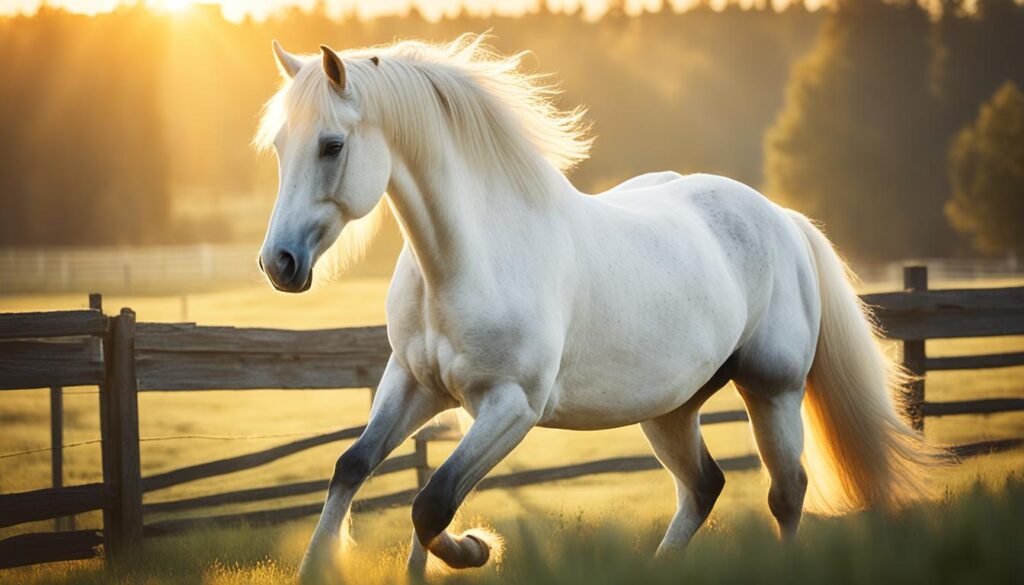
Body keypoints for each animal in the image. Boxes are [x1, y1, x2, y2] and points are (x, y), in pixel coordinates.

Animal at [254, 35, 942, 582]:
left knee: (786, 493)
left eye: (332, 145)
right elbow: (352, 467)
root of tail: (783, 218)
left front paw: (476, 548)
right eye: (281, 146)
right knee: (704, 487)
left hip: (771, 390)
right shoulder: (415, 384)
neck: (472, 255)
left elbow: (433, 502)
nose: (278, 263)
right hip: (670, 410)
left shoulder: (511, 407)